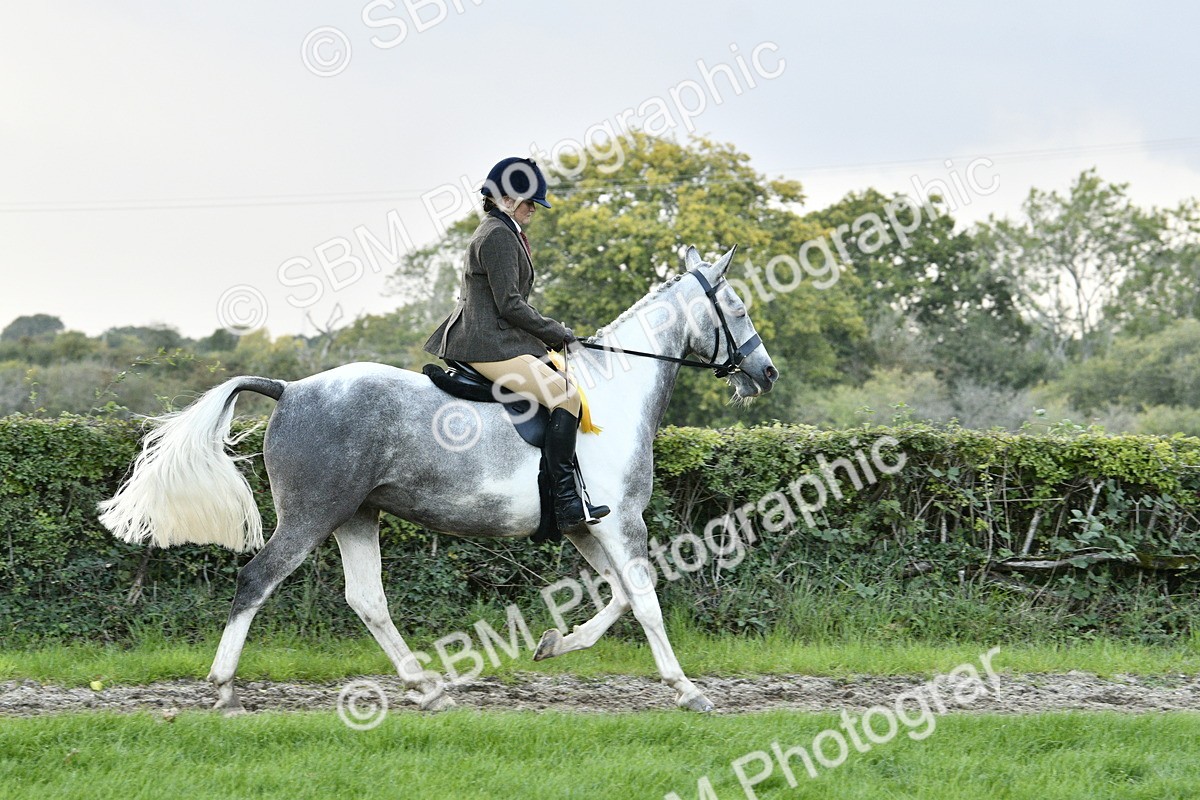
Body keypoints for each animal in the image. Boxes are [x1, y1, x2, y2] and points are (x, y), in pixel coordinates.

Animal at [99, 245, 778, 713]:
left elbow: (619, 596)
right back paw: (223, 690)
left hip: (356, 515)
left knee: (366, 599)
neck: (611, 396)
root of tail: (289, 389)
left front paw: (553, 645)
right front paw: (688, 691)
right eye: (739, 308)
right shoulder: (621, 523)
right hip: (313, 515)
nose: (766, 374)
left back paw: (427, 689)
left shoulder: (589, 526)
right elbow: (646, 598)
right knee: (256, 580)